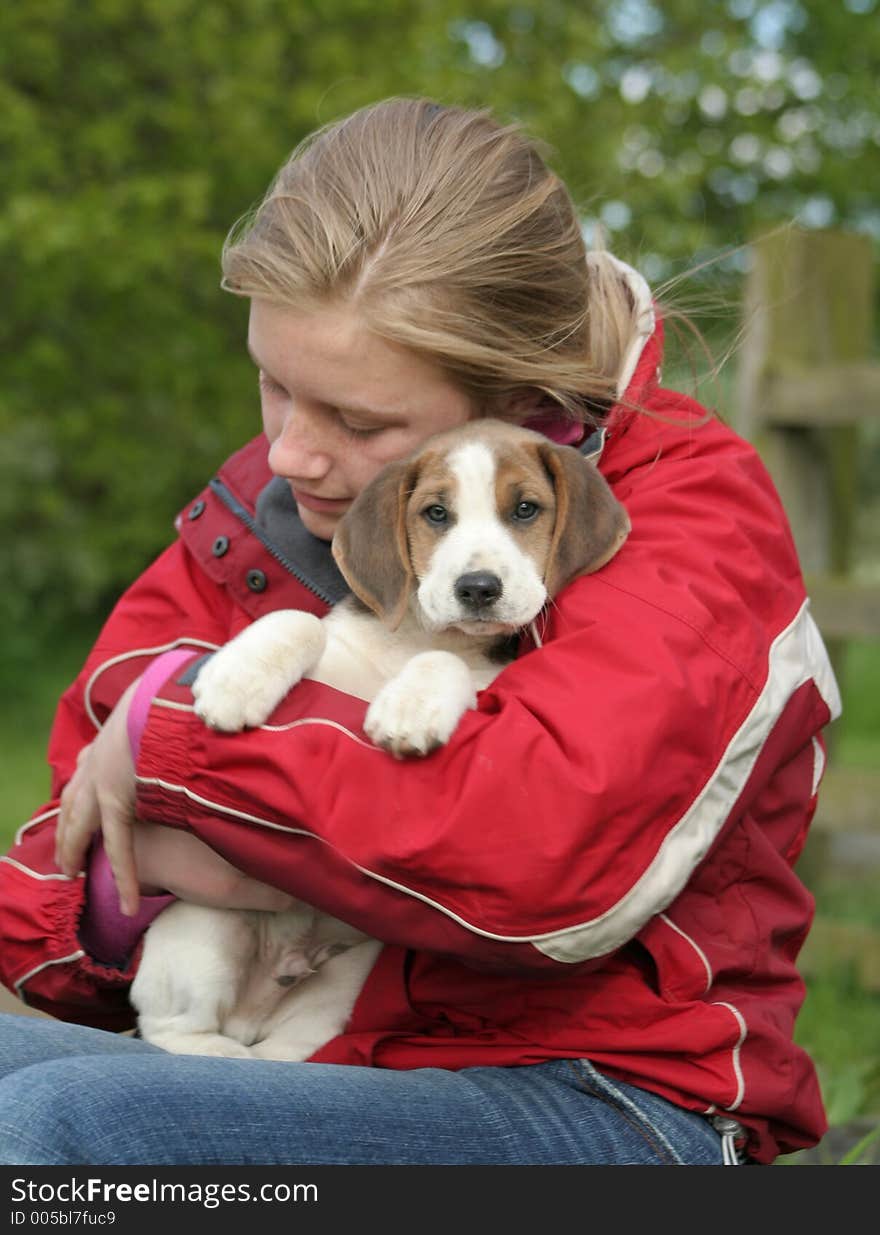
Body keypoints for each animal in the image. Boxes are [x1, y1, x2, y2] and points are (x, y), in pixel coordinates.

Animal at [130, 419, 626, 1057]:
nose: (478, 588)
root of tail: (255, 1008)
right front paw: (236, 678)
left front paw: (411, 707)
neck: (416, 639)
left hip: (343, 981)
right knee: (170, 1028)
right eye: (436, 513)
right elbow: (300, 622)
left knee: (274, 1048)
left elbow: (447, 665)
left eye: (525, 509)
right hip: (204, 924)